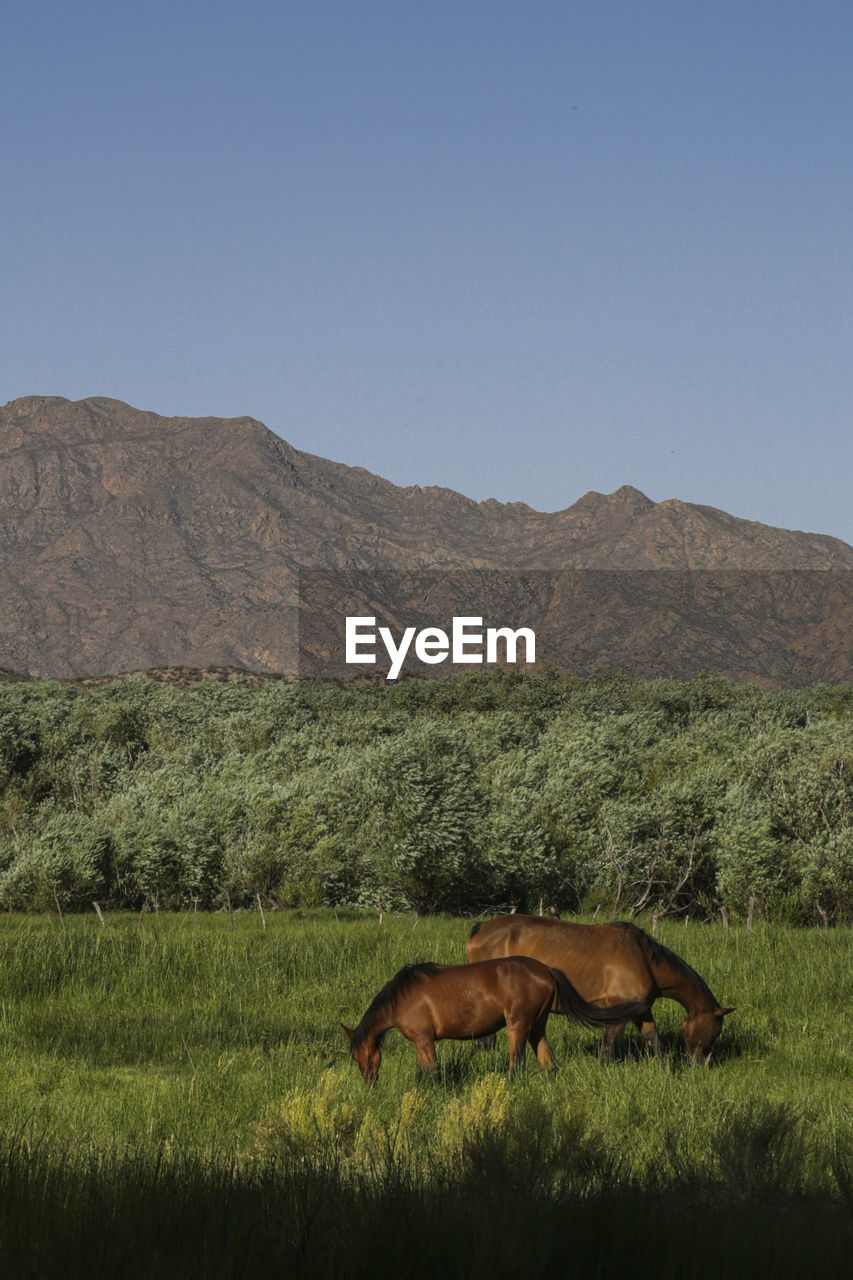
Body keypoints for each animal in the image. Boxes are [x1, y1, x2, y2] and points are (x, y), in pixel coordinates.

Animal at [338, 957, 645, 1085]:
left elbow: (429, 1072)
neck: (401, 996)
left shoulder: (423, 1040)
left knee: (516, 1064)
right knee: (548, 1062)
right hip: (537, 1027)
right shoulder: (421, 1043)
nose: (368, 1085)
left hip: (517, 1026)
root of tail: (546, 970)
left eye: (359, 1055)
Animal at [466, 916, 732, 1064]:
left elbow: (654, 1040)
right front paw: (602, 1068)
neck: (644, 958)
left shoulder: (641, 1011)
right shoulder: (619, 1012)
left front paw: (666, 1068)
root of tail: (481, 927)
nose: (698, 1064)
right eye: (716, 1031)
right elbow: (608, 1044)